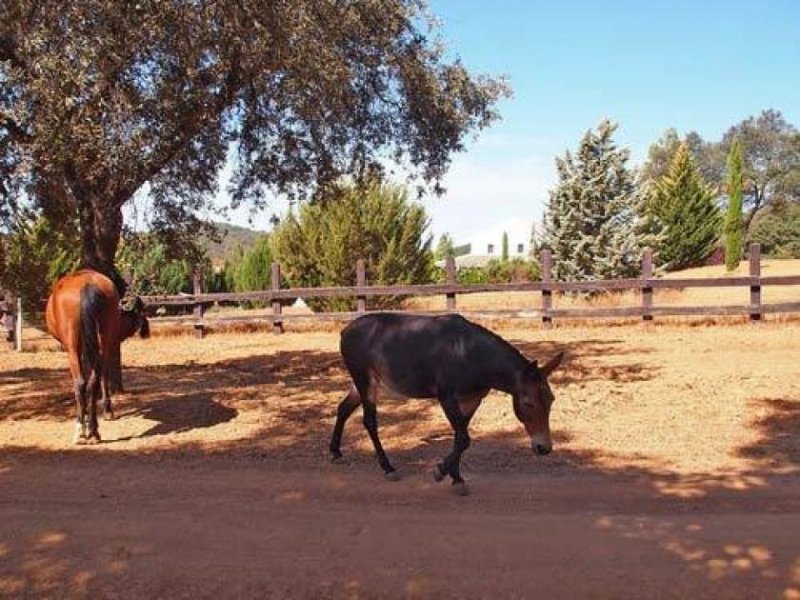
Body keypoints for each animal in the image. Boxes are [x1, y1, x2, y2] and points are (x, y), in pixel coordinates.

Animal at [46, 270, 150, 442]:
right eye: (142, 311)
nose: (146, 330)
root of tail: (87, 286)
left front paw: (104, 411)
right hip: (102, 336)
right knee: (92, 382)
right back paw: (93, 429)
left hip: (73, 345)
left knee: (81, 382)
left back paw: (81, 429)